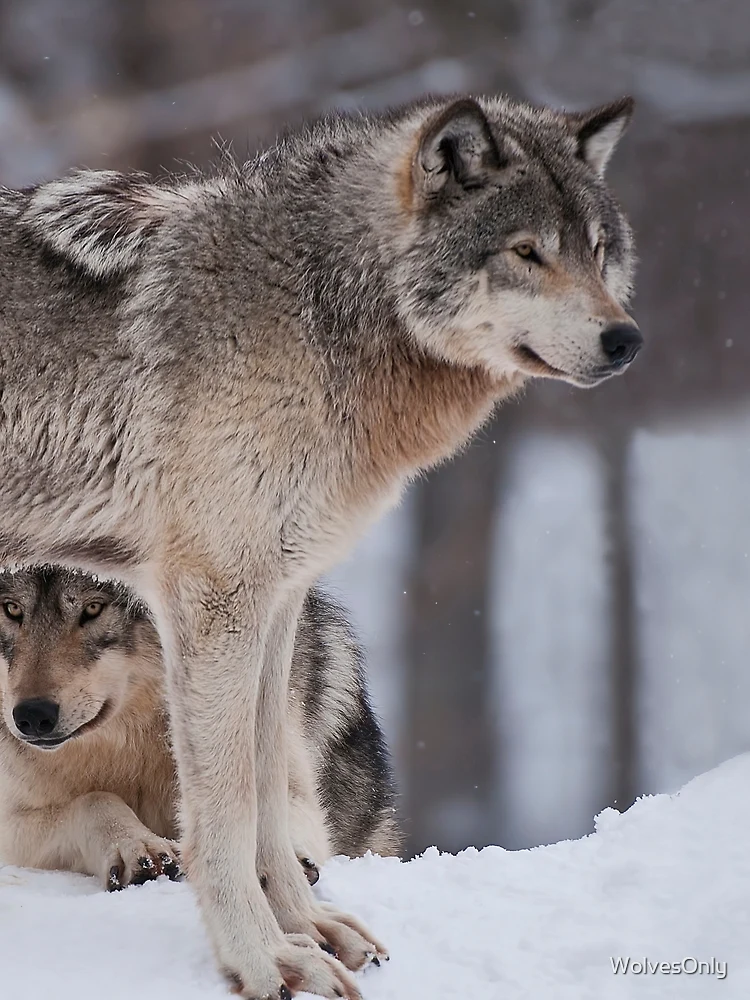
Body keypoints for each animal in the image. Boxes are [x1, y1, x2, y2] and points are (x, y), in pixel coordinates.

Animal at [0, 566, 399, 893]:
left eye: (94, 608)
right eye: (12, 609)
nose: (32, 715)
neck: (132, 739)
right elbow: (94, 800)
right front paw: (136, 845)